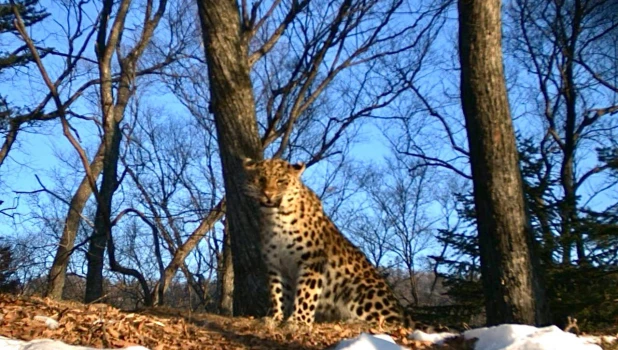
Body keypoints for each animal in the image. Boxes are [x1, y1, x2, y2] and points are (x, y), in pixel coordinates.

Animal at [241, 157, 414, 326]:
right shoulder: (276, 265)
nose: (268, 194)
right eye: (261, 179)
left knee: (391, 322)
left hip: (362, 289)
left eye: (281, 181)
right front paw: (276, 317)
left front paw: (298, 321)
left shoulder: (312, 261)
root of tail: (401, 310)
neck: (276, 218)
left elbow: (306, 293)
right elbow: (278, 293)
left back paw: (353, 321)